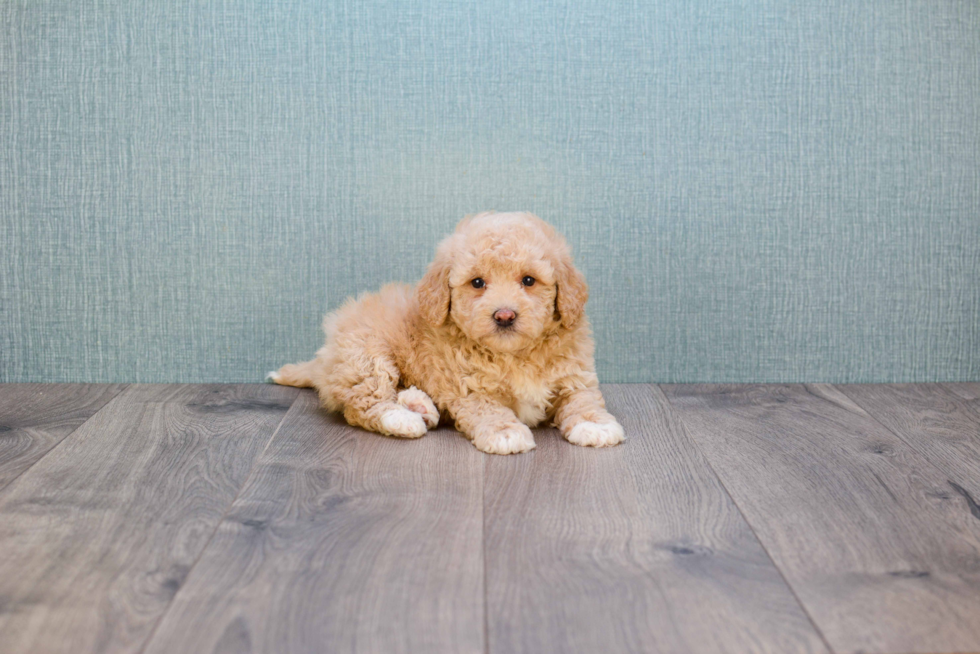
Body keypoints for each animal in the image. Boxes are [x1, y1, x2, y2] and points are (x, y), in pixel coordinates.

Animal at [264, 211, 624, 456]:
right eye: (477, 283)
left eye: (529, 281)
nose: (504, 315)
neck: (513, 355)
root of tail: (324, 356)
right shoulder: (467, 387)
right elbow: (488, 408)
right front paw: (505, 432)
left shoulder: (574, 375)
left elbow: (583, 399)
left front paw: (595, 424)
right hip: (364, 356)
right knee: (363, 403)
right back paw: (403, 418)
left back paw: (418, 403)